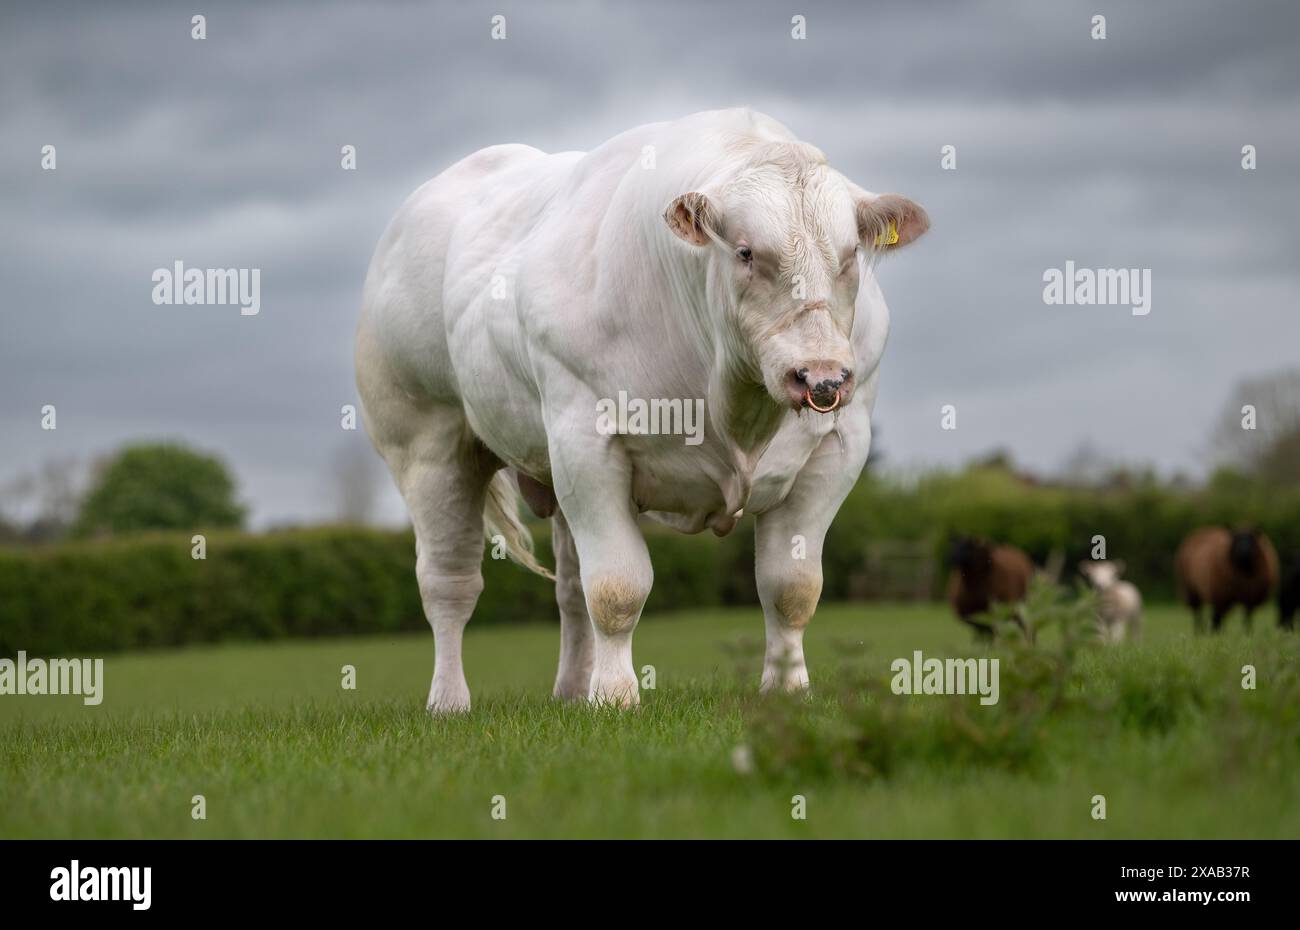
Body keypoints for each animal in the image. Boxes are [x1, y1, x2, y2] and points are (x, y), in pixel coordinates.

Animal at [351, 107, 930, 712]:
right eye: (746, 252)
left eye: (851, 256)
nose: (820, 376)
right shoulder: (586, 443)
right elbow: (618, 587)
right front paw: (615, 697)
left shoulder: (838, 451)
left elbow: (791, 586)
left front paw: (788, 692)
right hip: (429, 447)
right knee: (450, 583)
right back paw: (449, 702)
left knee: (569, 588)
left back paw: (570, 691)